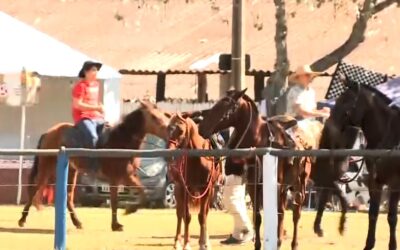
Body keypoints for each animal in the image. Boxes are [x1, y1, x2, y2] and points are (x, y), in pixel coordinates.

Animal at [18, 101, 170, 230]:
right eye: (153, 116)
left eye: (163, 114)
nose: (169, 130)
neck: (121, 141)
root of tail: (49, 133)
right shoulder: (115, 178)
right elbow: (115, 201)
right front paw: (116, 224)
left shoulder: (128, 176)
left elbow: (143, 194)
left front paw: (128, 210)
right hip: (47, 169)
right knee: (34, 190)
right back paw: (22, 219)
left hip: (71, 171)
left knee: (68, 197)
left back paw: (77, 222)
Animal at [167, 114, 220, 250]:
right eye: (168, 128)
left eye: (181, 130)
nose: (170, 152)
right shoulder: (185, 188)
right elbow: (187, 216)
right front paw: (186, 244)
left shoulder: (207, 189)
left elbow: (202, 216)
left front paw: (203, 243)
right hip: (178, 189)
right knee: (179, 213)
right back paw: (177, 242)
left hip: (210, 192)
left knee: (205, 213)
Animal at [198, 90, 318, 250]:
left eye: (226, 106)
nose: (201, 128)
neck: (260, 141)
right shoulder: (253, 185)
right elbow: (258, 216)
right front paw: (258, 244)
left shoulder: (274, 186)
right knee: (282, 212)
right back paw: (279, 240)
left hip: (299, 185)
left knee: (295, 214)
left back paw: (293, 244)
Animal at [318, 77, 400, 249]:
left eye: (345, 102)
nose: (328, 125)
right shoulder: (376, 183)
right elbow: (374, 214)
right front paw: (369, 244)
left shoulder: (395, 184)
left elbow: (392, 217)